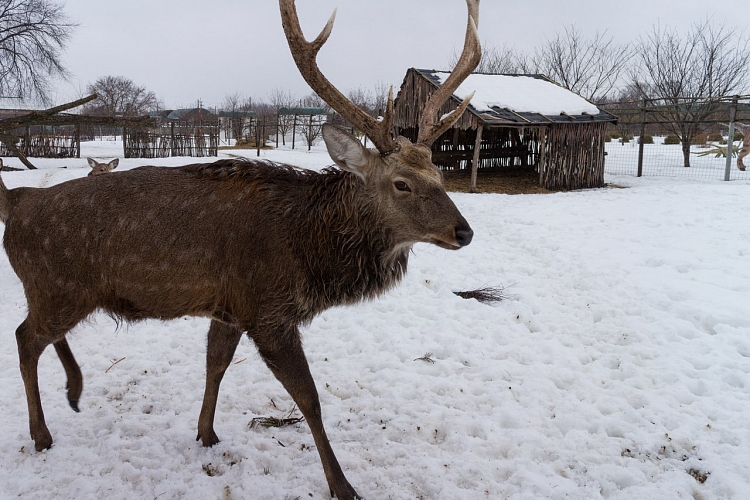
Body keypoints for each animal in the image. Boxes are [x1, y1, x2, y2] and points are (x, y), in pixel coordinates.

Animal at [0, 1, 482, 498]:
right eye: (402, 183)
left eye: (440, 175)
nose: (464, 232)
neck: (308, 248)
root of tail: (15, 203)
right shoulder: (268, 308)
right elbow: (309, 398)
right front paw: (341, 484)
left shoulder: (230, 306)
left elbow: (215, 364)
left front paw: (206, 433)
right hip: (57, 286)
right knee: (24, 338)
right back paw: (42, 433)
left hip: (58, 293)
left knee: (38, 335)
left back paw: (75, 390)